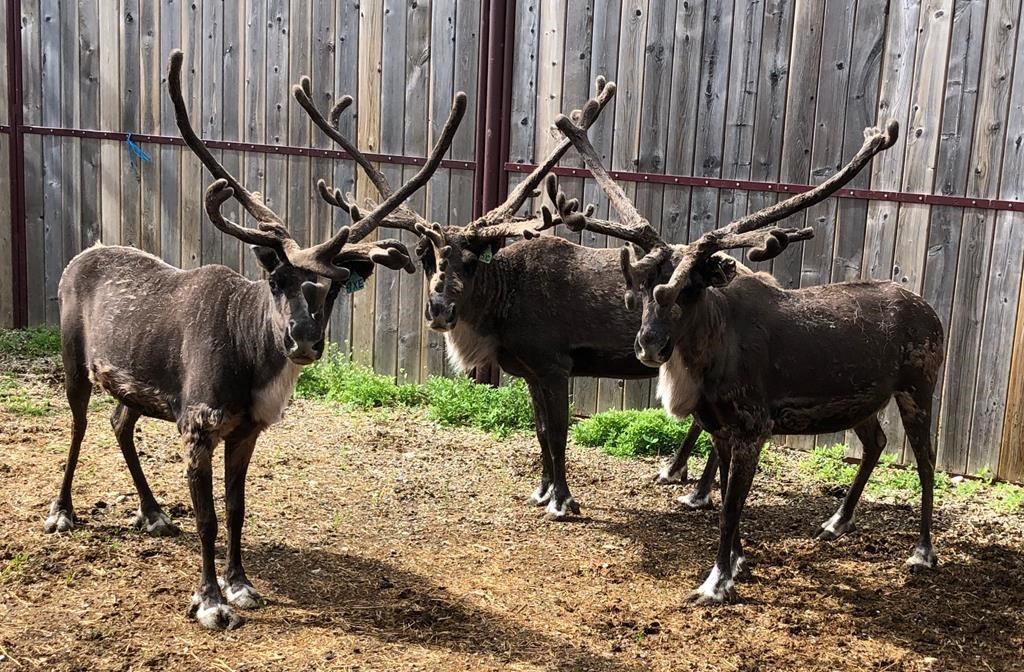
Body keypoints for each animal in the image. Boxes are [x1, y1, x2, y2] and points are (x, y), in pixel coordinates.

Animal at [44, 49, 467, 630]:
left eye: (335, 285)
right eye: (276, 280)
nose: (303, 341)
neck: (250, 358)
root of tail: (79, 256)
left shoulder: (246, 432)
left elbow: (237, 509)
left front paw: (241, 584)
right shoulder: (197, 426)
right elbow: (207, 518)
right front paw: (209, 600)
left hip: (135, 384)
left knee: (119, 422)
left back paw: (153, 513)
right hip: (73, 363)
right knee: (80, 425)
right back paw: (62, 511)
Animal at [293, 76, 725, 519]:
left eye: (471, 260)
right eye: (424, 255)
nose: (440, 310)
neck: (501, 305)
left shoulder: (554, 365)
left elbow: (558, 433)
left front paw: (563, 501)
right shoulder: (530, 371)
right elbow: (540, 433)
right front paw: (542, 491)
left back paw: (696, 489)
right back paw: (682, 477)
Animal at [555, 106, 945, 604]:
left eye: (690, 288)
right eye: (640, 288)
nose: (649, 345)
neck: (709, 361)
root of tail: (932, 312)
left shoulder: (753, 427)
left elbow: (728, 509)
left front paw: (716, 581)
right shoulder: (721, 429)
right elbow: (726, 498)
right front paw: (740, 562)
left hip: (918, 386)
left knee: (926, 461)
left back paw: (922, 551)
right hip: (864, 399)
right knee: (875, 442)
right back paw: (836, 522)